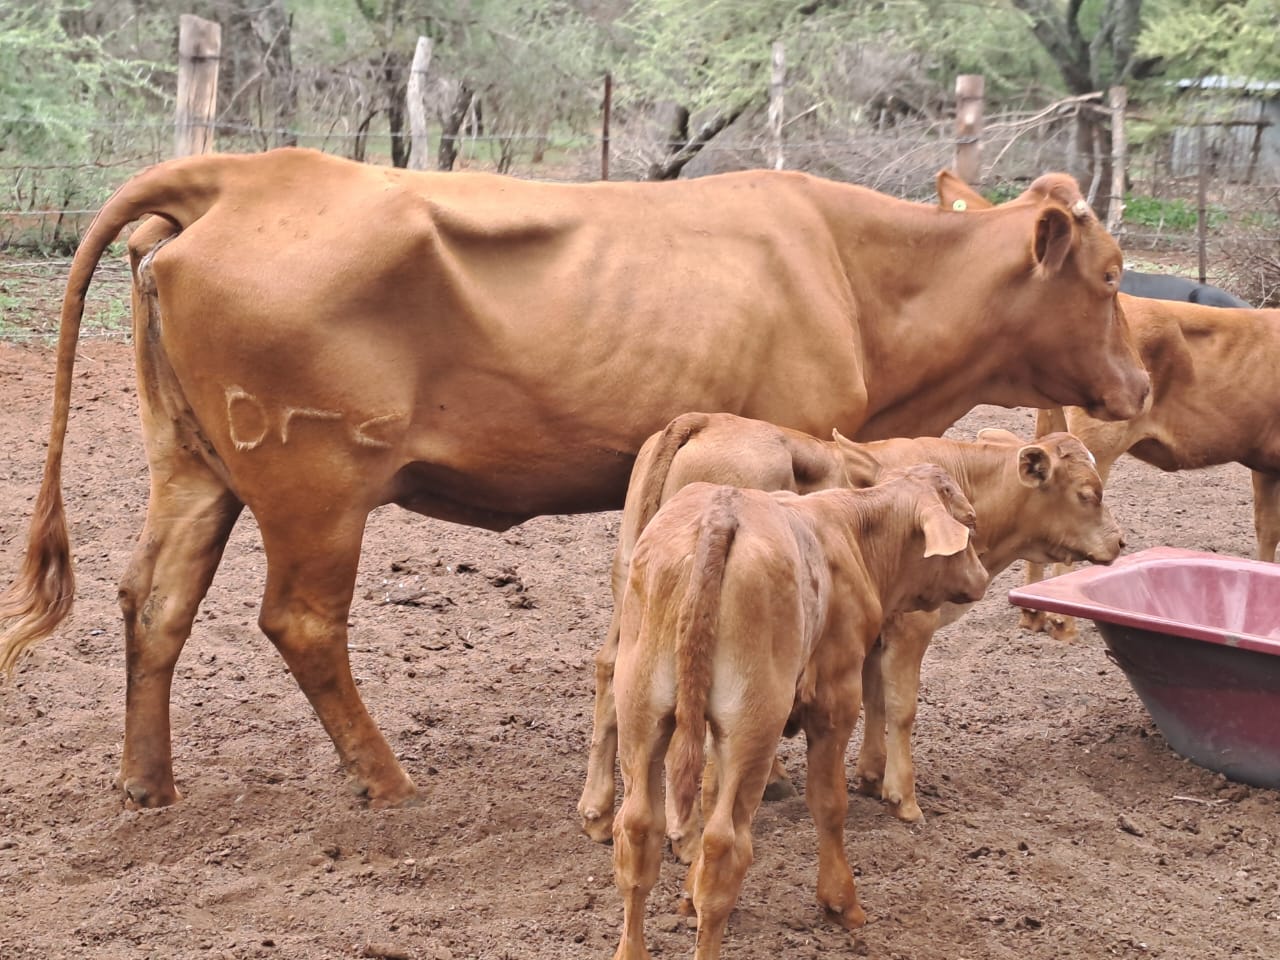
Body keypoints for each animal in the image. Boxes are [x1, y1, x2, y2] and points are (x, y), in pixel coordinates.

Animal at [0, 150, 1146, 814]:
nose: (1136, 382)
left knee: (155, 603)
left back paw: (148, 783)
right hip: (315, 488)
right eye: (1110, 274)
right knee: (301, 623)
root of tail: (240, 172)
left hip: (192, 469)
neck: (850, 269)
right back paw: (386, 778)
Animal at [609, 465, 988, 960]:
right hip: (754, 726)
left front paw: (687, 898)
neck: (851, 533)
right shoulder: (835, 698)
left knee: (638, 831)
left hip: (643, 711)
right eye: (969, 521)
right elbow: (828, 802)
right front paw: (841, 902)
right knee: (724, 847)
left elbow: (709, 793)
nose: (982, 576)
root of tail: (721, 512)